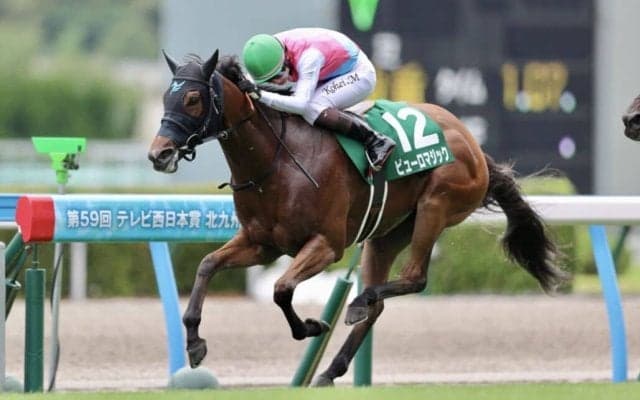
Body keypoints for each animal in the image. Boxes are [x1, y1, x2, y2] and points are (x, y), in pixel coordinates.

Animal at [147, 50, 569, 386]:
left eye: (192, 98)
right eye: (167, 96)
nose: (159, 153)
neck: (276, 162)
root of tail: (474, 145)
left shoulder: (326, 245)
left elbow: (281, 289)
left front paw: (312, 326)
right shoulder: (261, 243)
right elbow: (206, 265)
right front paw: (195, 344)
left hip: (436, 206)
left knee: (413, 278)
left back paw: (357, 303)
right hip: (387, 232)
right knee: (380, 301)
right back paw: (330, 369)